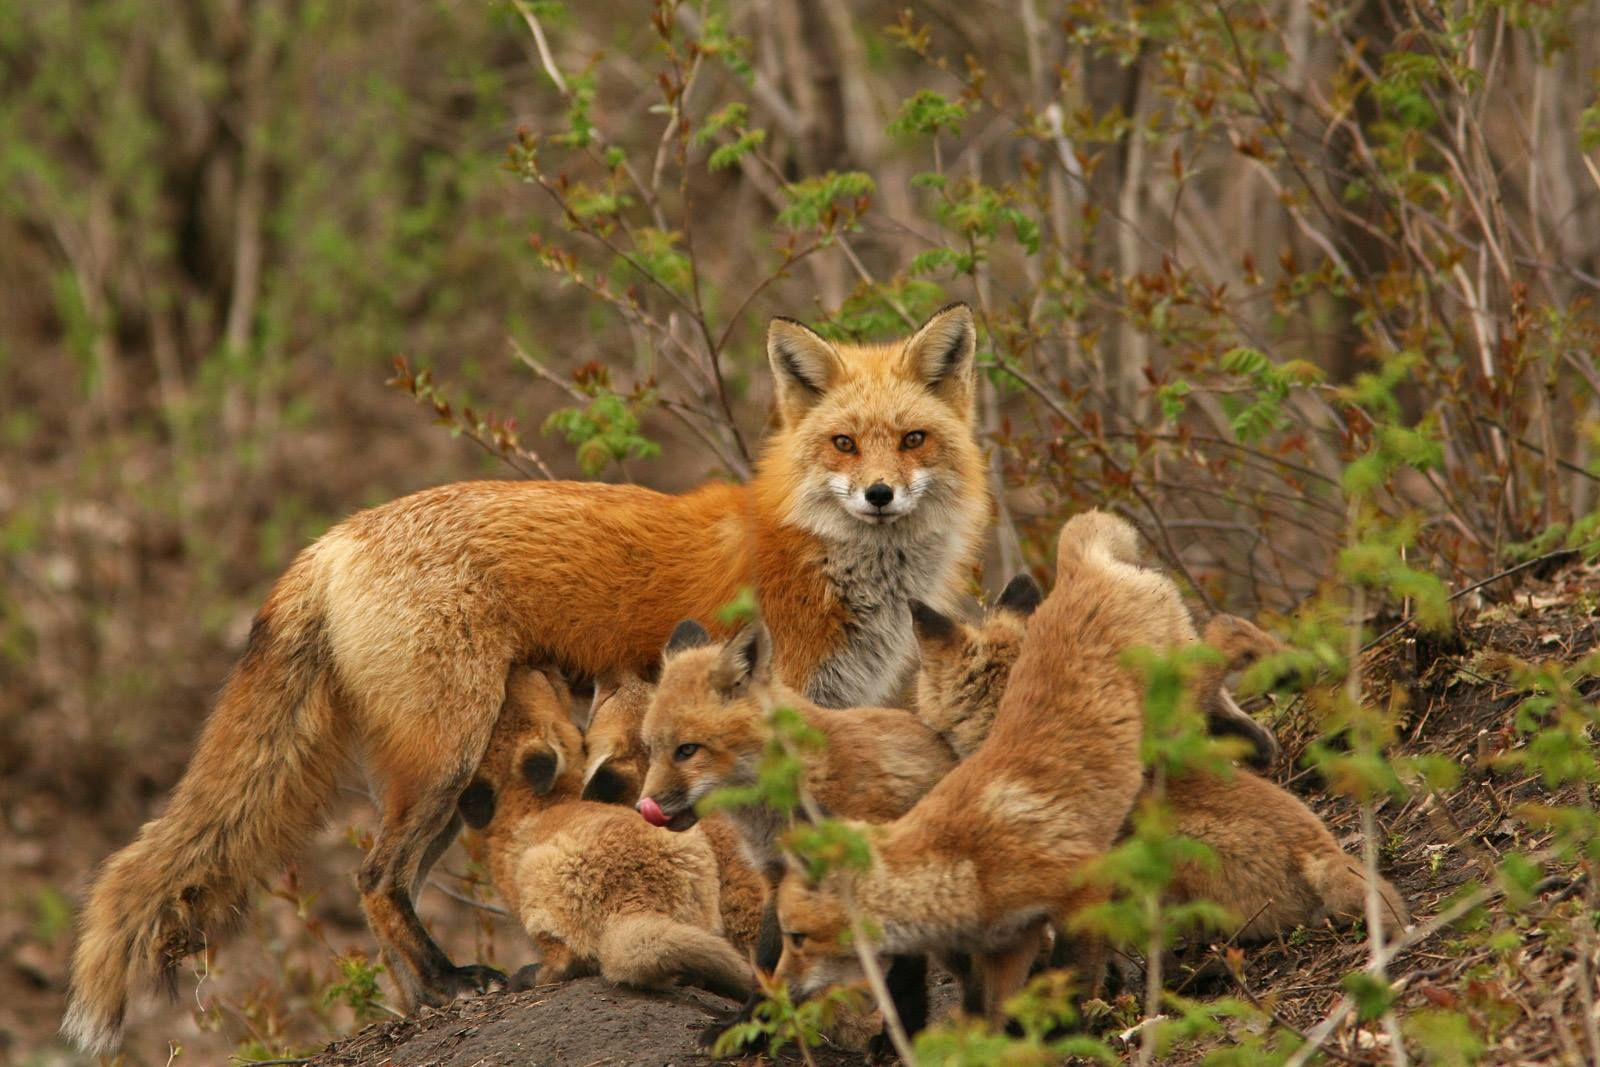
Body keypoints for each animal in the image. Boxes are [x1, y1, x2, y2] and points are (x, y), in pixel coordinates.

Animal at [62, 303, 985, 1055]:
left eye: (913, 440)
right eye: (842, 443)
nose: (878, 493)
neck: (826, 557)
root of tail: (335, 537)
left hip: (453, 774)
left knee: (390, 882)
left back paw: (423, 995)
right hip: (446, 753)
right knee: (374, 877)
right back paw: (448, 982)